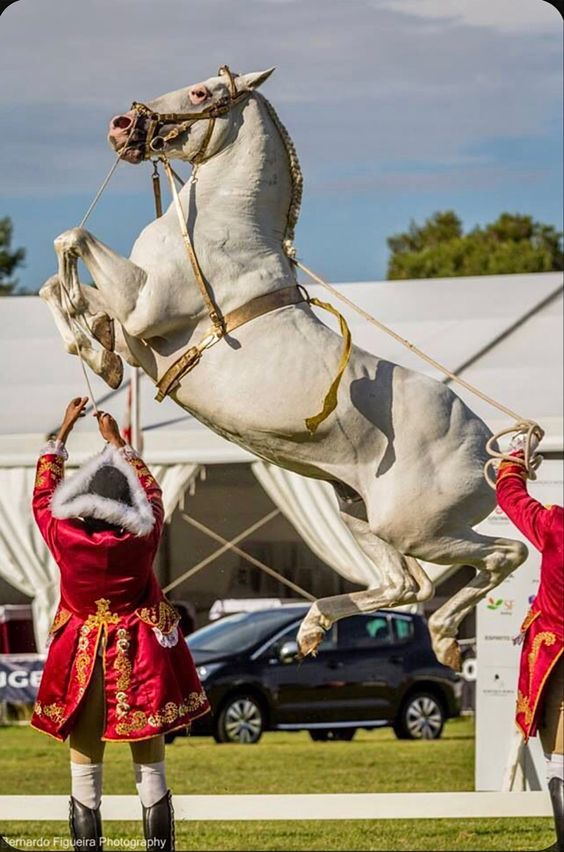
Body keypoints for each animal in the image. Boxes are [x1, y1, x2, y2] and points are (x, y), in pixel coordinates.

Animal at [41, 66, 528, 668]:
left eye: (201, 92)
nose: (121, 125)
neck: (217, 224)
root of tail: (492, 449)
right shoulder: (139, 337)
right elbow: (60, 290)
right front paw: (97, 355)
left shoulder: (143, 308)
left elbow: (72, 240)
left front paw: (95, 355)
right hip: (359, 513)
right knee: (407, 584)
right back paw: (314, 629)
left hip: (420, 529)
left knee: (502, 556)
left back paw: (443, 640)